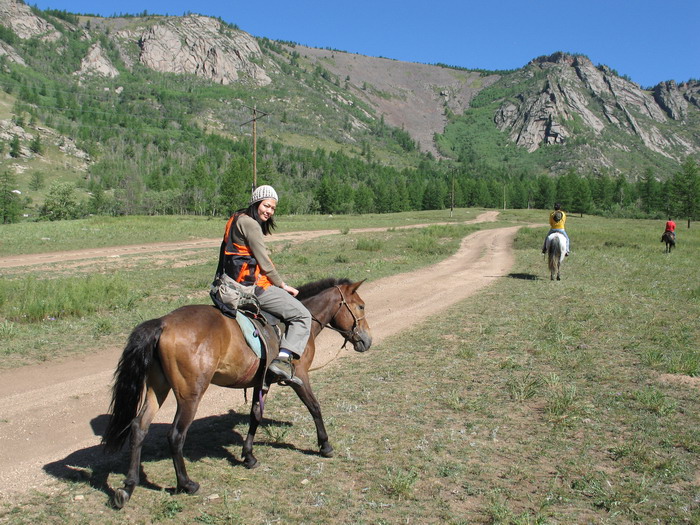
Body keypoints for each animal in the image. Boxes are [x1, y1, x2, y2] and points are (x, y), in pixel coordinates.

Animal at [102, 278, 371, 509]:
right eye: (360, 306)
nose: (367, 341)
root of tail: (163, 323)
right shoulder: (300, 377)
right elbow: (314, 407)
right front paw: (325, 445)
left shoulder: (261, 383)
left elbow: (255, 416)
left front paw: (248, 456)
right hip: (190, 394)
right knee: (176, 435)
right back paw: (186, 484)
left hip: (157, 388)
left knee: (139, 427)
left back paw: (128, 487)